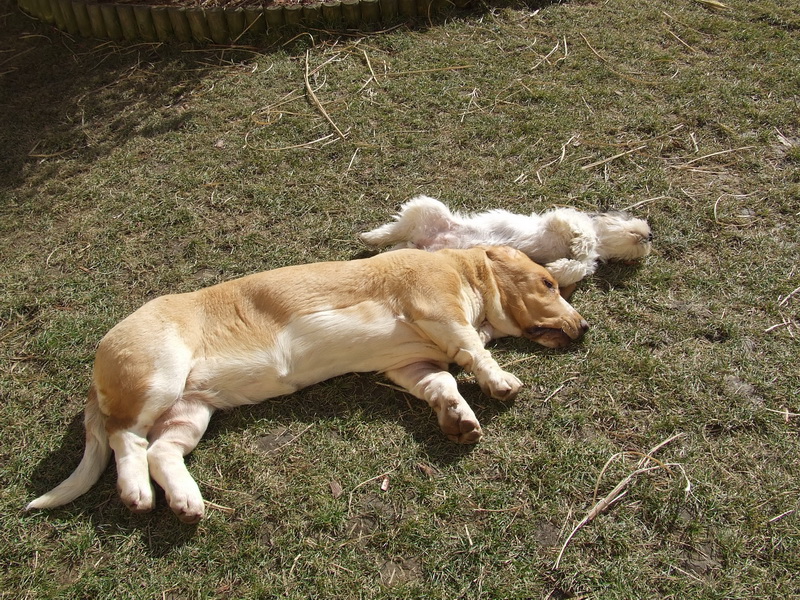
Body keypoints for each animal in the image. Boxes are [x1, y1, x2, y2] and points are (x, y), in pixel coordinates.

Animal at [26, 246, 588, 523]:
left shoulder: (412, 366)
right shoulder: (439, 309)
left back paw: (186, 503)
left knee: (160, 451)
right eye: (548, 283)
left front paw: (460, 419)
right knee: (126, 438)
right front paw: (501, 381)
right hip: (158, 378)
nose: (585, 329)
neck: (463, 269)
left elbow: (444, 386)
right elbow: (475, 352)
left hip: (191, 410)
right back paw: (136, 494)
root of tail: (98, 367)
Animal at [360, 195, 653, 288]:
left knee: (398, 245)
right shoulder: (563, 218)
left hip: (419, 248)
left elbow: (579, 267)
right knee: (393, 229)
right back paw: (370, 237)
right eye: (630, 217)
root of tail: (424, 242)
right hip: (428, 208)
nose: (651, 235)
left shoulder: (587, 262)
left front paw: (557, 268)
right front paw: (580, 244)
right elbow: (582, 234)